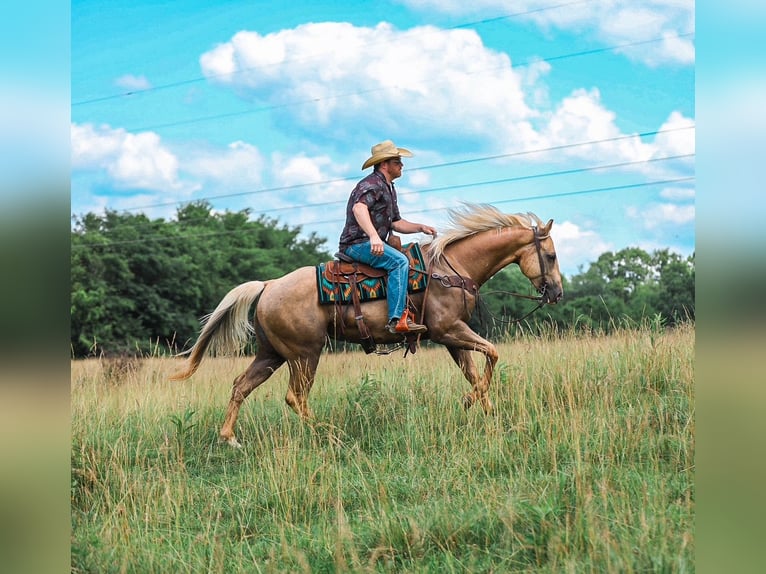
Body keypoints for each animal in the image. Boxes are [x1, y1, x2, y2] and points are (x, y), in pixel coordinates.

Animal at [170, 203, 563, 447]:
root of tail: (267, 286)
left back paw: (230, 438)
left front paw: (487, 411)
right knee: (295, 396)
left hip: (272, 355)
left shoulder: (454, 339)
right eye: (552, 255)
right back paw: (327, 433)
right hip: (305, 354)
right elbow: (493, 354)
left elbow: (475, 371)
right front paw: (471, 402)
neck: (449, 269)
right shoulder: (448, 331)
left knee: (241, 386)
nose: (557, 292)